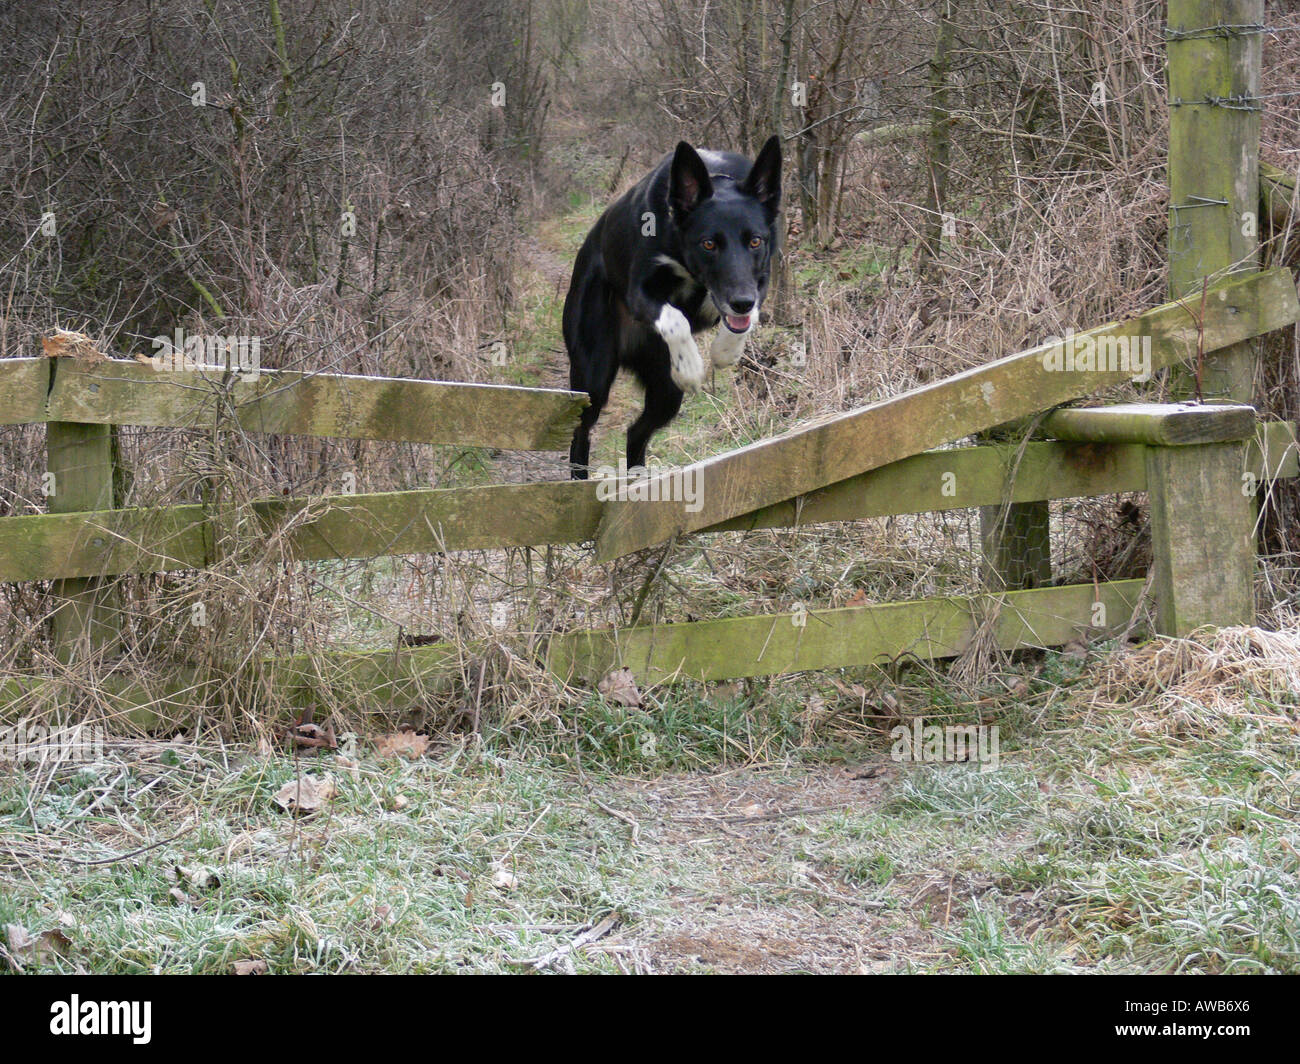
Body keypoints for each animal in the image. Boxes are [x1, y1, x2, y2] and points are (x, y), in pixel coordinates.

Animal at [561, 136, 780, 476]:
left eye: (755, 241)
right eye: (708, 244)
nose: (740, 303)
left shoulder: (760, 278)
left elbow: (746, 315)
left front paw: (725, 351)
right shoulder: (639, 290)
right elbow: (676, 319)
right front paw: (690, 367)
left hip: (665, 390)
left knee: (636, 432)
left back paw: (637, 479)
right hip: (592, 375)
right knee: (580, 433)